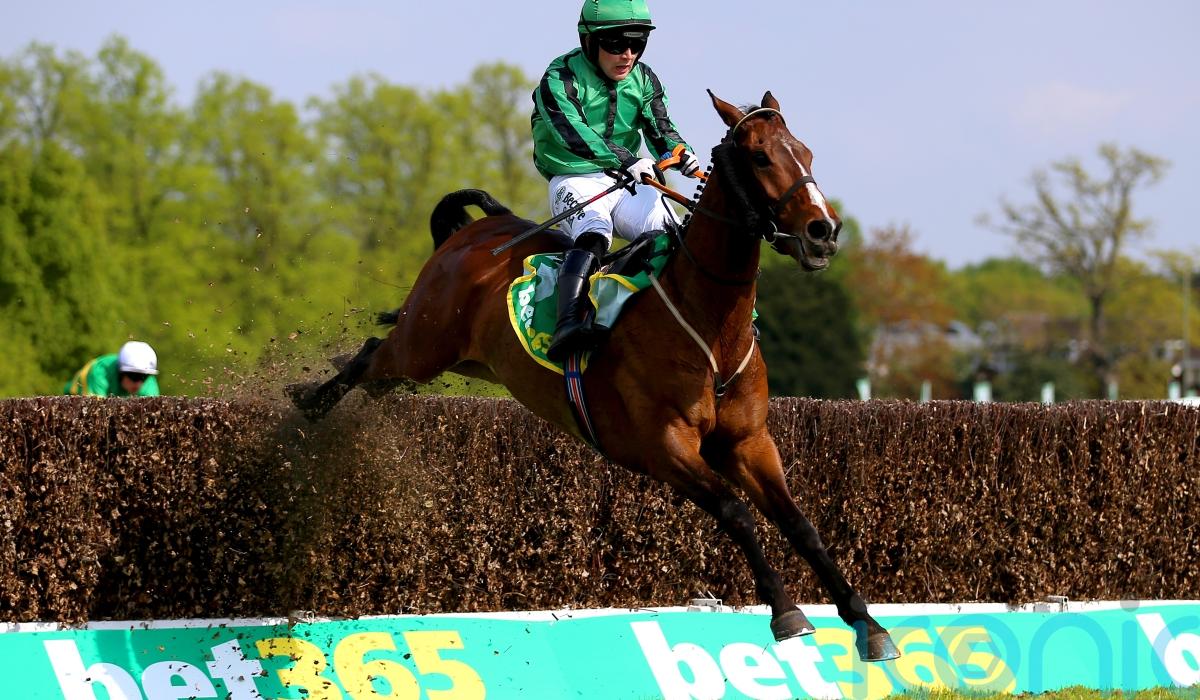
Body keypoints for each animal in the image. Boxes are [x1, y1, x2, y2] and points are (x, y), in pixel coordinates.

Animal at [290, 90, 900, 662]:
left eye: (806, 152)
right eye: (759, 156)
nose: (823, 231)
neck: (708, 324)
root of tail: (478, 232)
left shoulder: (749, 441)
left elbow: (801, 525)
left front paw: (868, 623)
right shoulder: (665, 447)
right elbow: (736, 512)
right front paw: (786, 610)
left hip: (456, 357)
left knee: (375, 374)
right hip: (424, 345)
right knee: (372, 354)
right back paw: (301, 408)